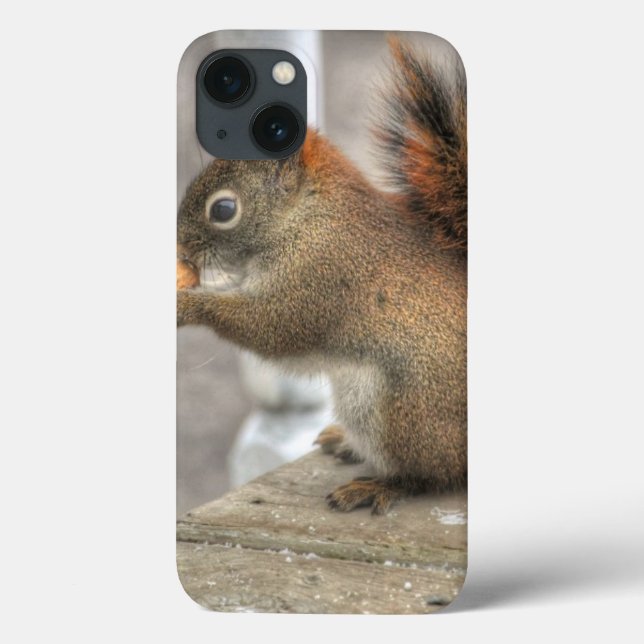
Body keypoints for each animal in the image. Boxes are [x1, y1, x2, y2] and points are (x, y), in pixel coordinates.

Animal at [177, 40, 467, 515]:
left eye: (223, 209)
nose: (181, 250)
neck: (307, 216)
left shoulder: (323, 275)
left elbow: (273, 327)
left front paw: (186, 303)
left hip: (400, 409)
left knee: (435, 474)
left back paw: (378, 485)